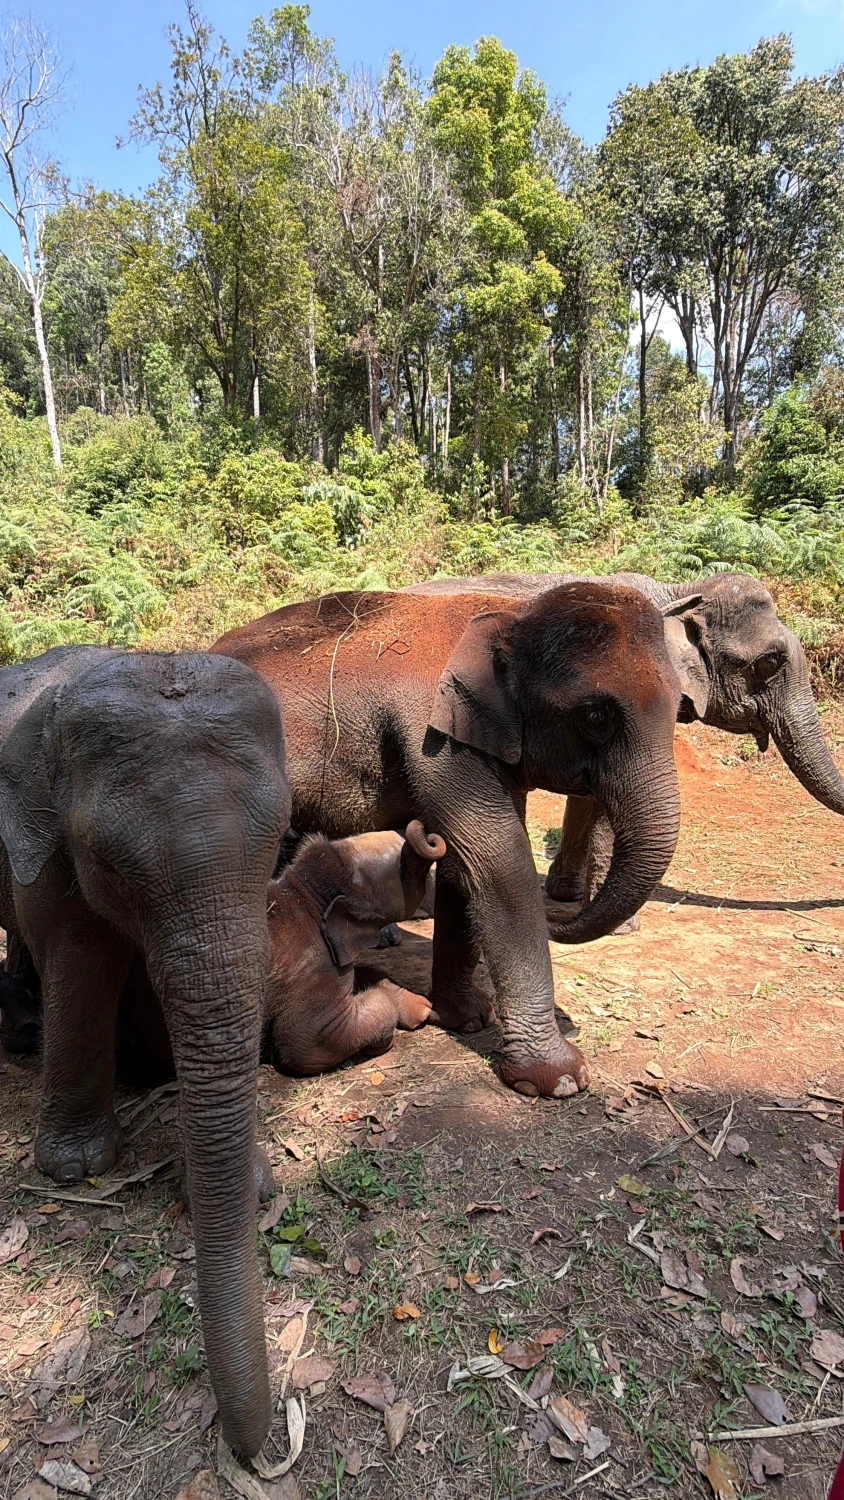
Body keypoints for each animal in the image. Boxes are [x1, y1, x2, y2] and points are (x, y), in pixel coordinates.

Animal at [0, 646, 289, 1459]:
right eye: (108, 861)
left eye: (284, 834)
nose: (254, 1451)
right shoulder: (46, 846)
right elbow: (81, 961)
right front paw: (75, 1169)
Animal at [210, 582, 683, 1100]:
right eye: (596, 715)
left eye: (682, 705)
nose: (560, 916)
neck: (511, 615)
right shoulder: (434, 738)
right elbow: (496, 859)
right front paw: (557, 1080)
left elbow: (466, 863)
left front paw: (468, 1018)